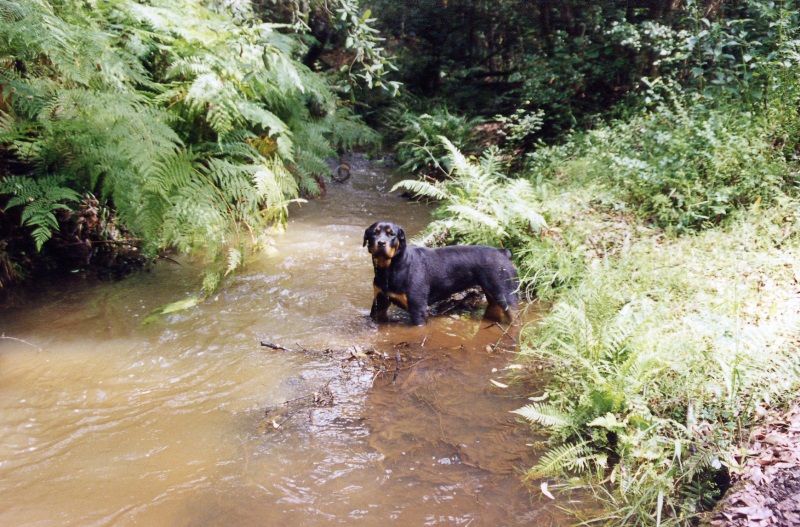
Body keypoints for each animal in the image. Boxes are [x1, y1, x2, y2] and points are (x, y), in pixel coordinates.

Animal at [363, 221, 518, 325]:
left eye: (392, 234)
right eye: (374, 233)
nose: (381, 243)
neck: (389, 269)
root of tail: (503, 252)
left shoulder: (418, 309)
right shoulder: (379, 302)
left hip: (506, 294)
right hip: (493, 295)